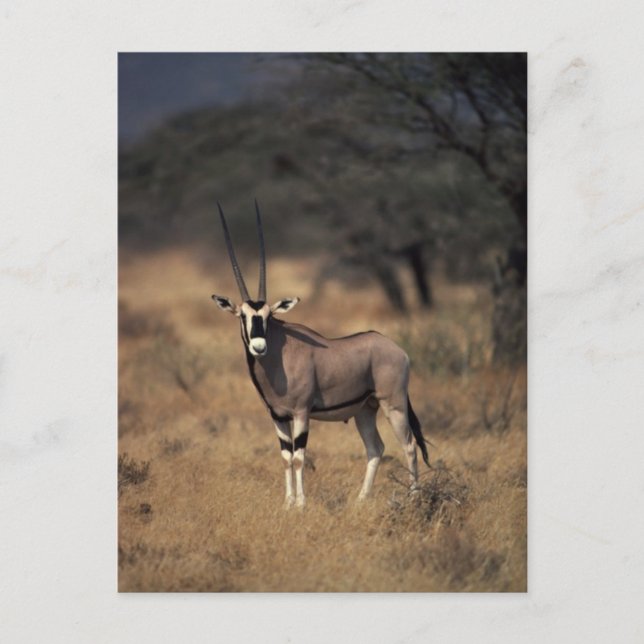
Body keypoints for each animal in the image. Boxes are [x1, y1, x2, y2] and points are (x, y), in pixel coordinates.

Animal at [212, 202, 429, 508]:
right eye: (243, 315)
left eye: (268, 316)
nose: (259, 347)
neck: (278, 355)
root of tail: (397, 350)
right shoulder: (278, 416)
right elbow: (285, 457)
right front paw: (287, 503)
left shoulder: (302, 413)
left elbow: (299, 457)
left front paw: (301, 504)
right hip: (365, 410)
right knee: (376, 448)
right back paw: (361, 499)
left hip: (393, 405)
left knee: (409, 445)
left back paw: (414, 497)